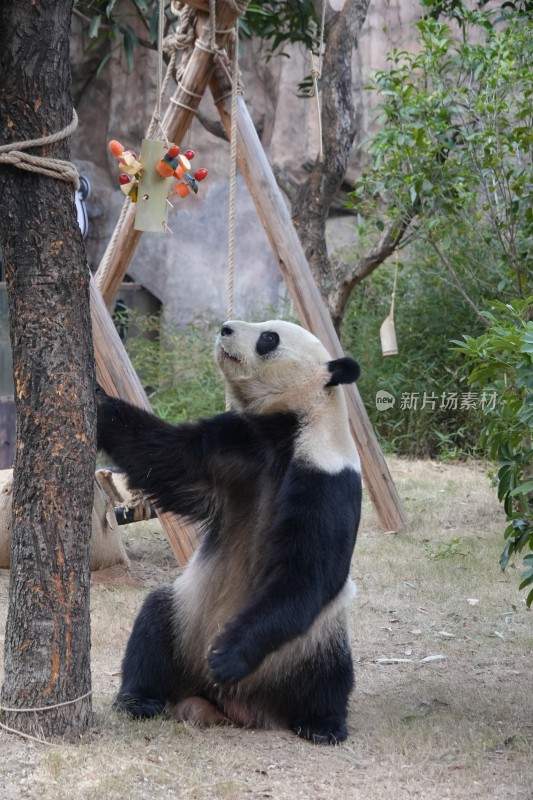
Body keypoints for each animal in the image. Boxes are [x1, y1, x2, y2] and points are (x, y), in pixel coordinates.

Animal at [95, 318, 362, 744]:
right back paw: (139, 699)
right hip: (187, 619)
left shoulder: (329, 480)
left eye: (269, 338)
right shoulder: (236, 444)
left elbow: (307, 574)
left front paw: (227, 656)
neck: (289, 427)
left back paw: (322, 723)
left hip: (309, 641)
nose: (225, 327)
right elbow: (164, 456)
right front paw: (96, 400)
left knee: (331, 672)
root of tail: (234, 705)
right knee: (154, 624)